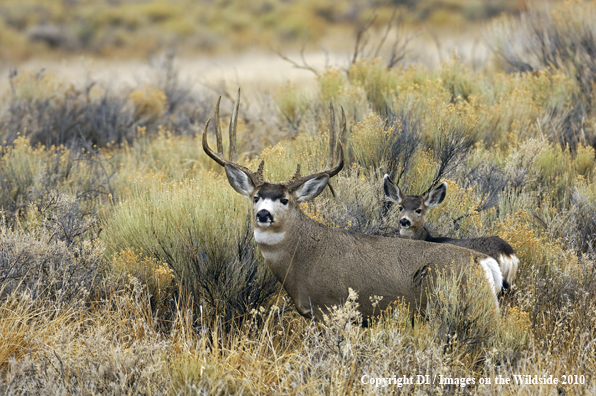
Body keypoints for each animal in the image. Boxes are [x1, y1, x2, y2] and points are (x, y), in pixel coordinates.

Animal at [201, 89, 502, 322]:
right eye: (255, 197)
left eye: (285, 200)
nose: (263, 214)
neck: (303, 257)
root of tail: (485, 264)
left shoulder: (330, 307)